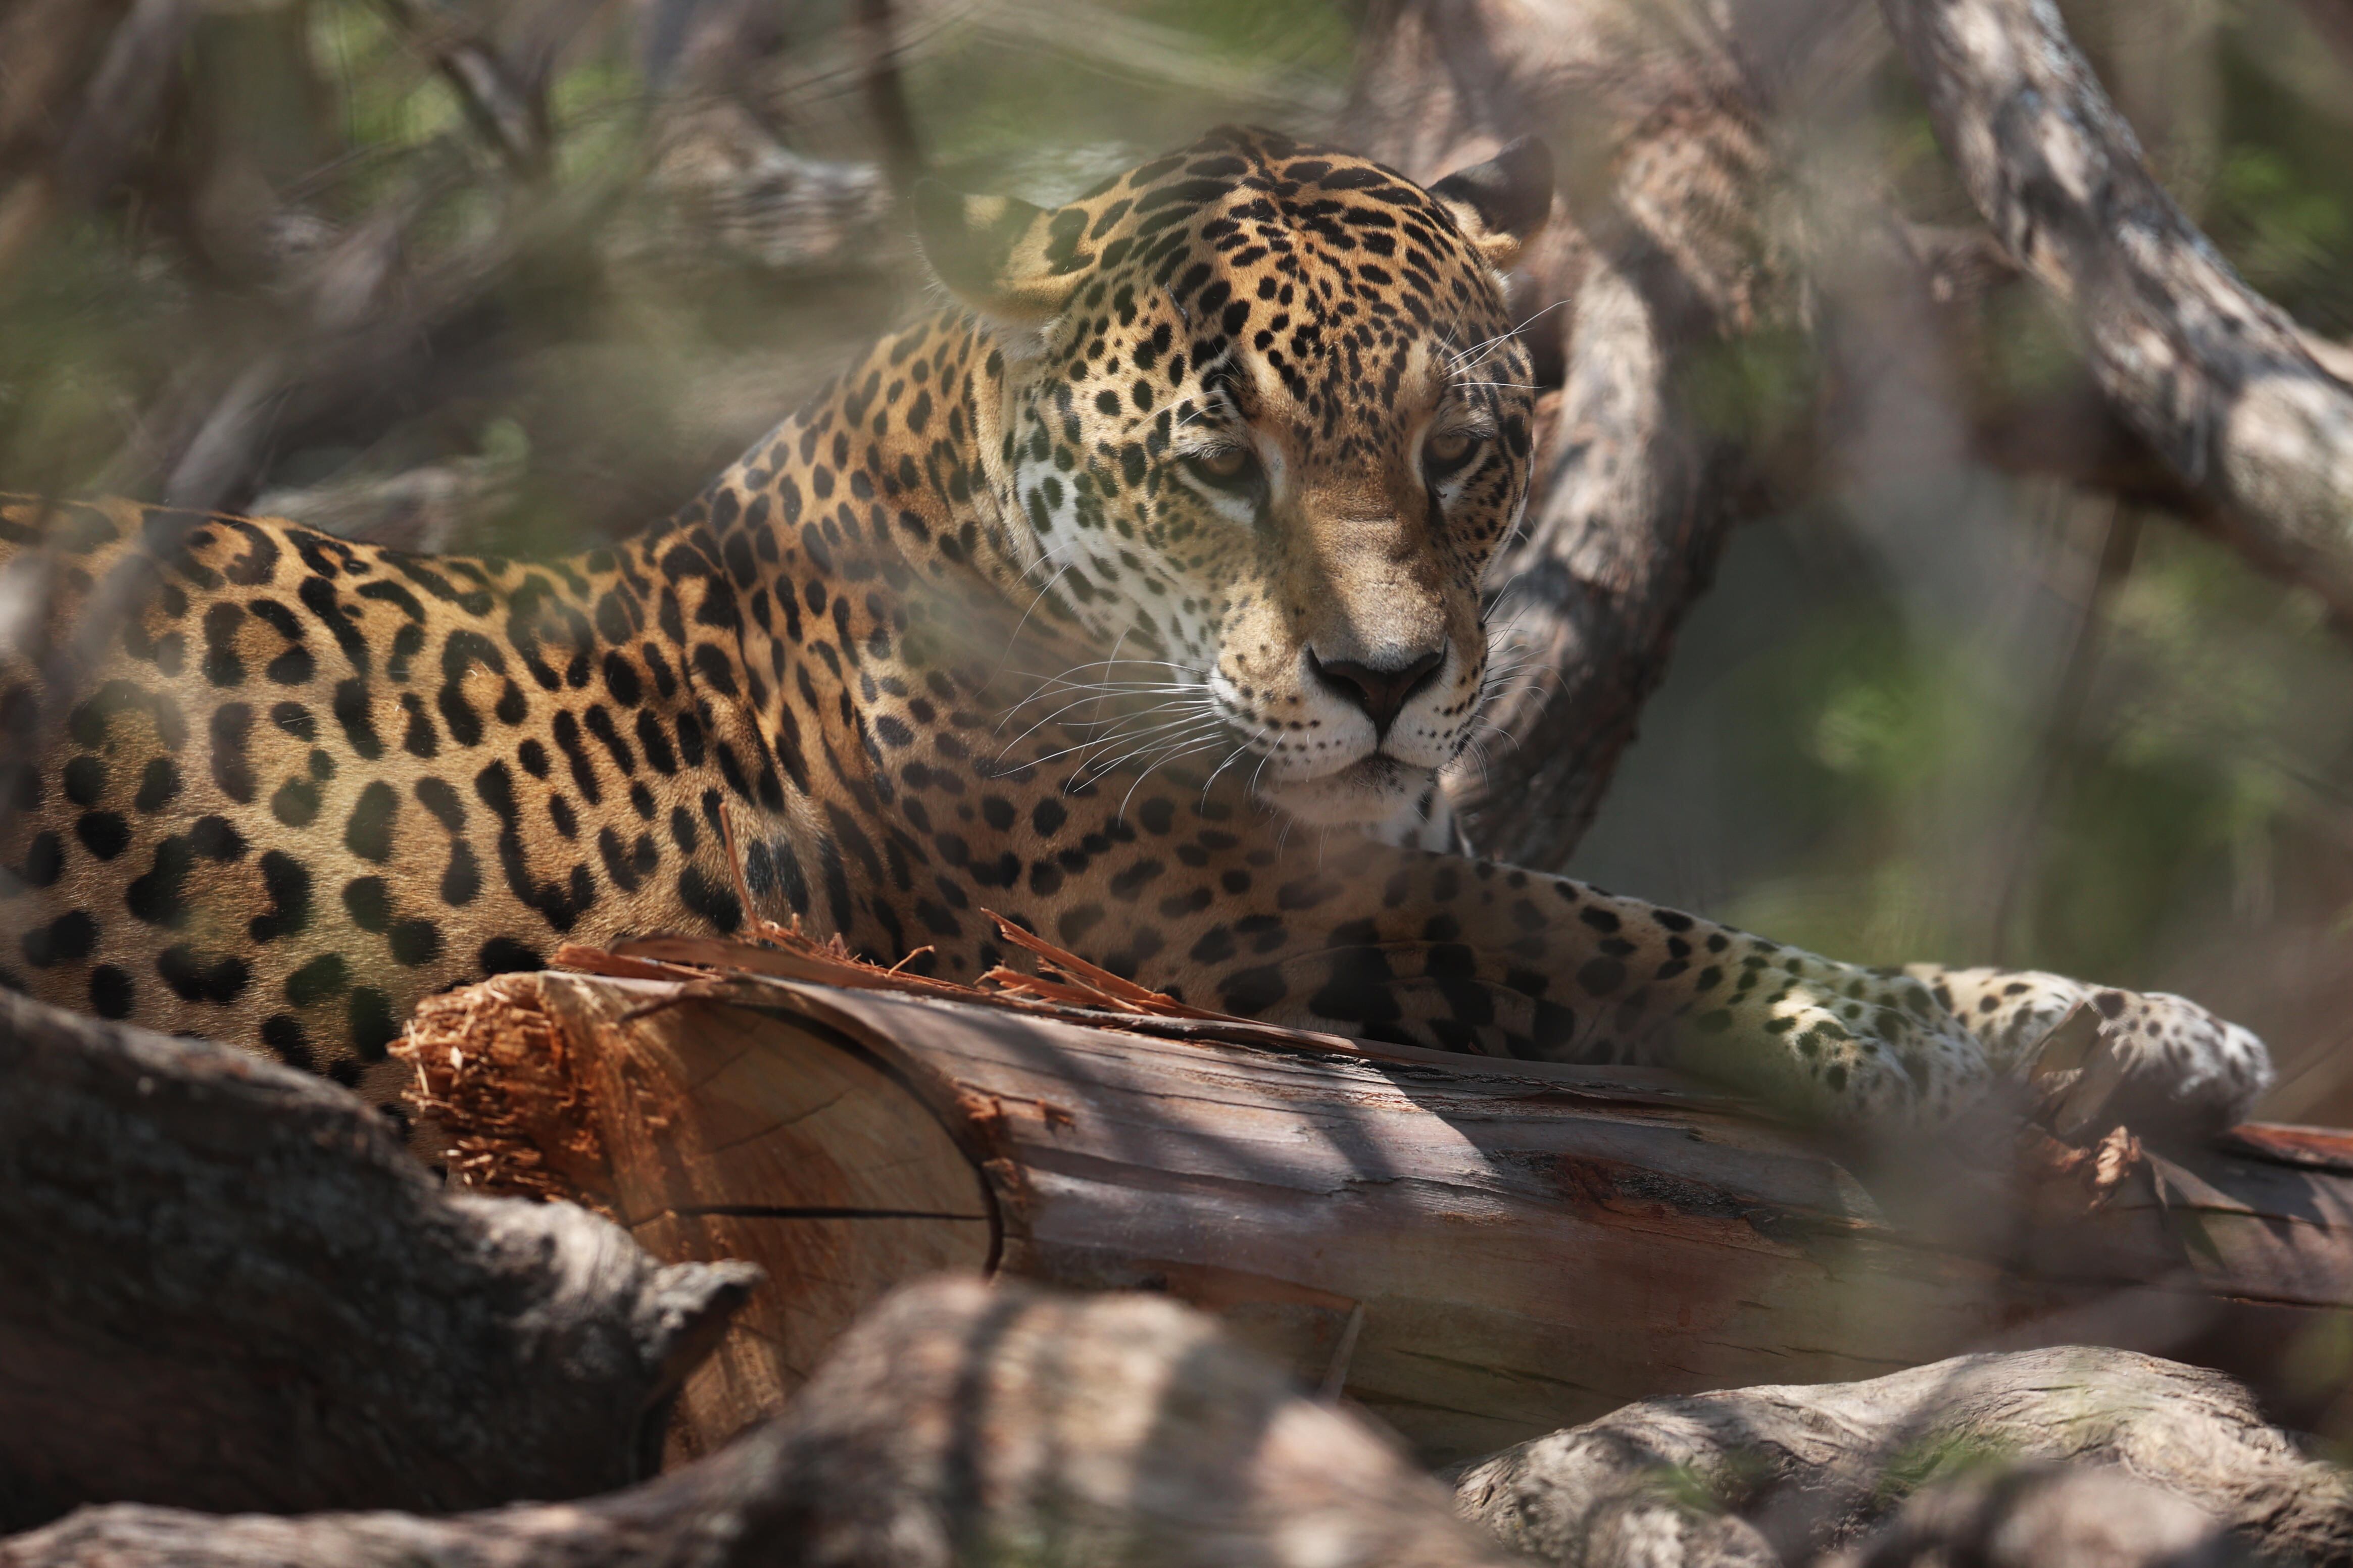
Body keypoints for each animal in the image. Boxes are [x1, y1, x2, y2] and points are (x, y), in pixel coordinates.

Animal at [0, 125, 2273, 1140]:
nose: (1386, 681)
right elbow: (1620, 926)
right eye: (1218, 464)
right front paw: (1953, 1029)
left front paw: (2120, 1022)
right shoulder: (1210, 909)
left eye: (1462, 452)